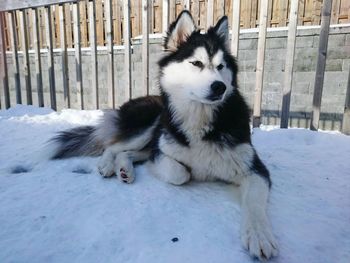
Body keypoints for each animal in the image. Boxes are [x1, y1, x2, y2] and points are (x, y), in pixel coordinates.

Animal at [50, 10, 278, 262]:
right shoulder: (162, 153)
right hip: (152, 123)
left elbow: (254, 204)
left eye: (221, 66)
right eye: (196, 63)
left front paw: (259, 235)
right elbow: (181, 173)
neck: (199, 119)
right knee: (114, 146)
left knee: (129, 152)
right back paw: (108, 165)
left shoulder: (254, 168)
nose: (219, 87)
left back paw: (125, 168)